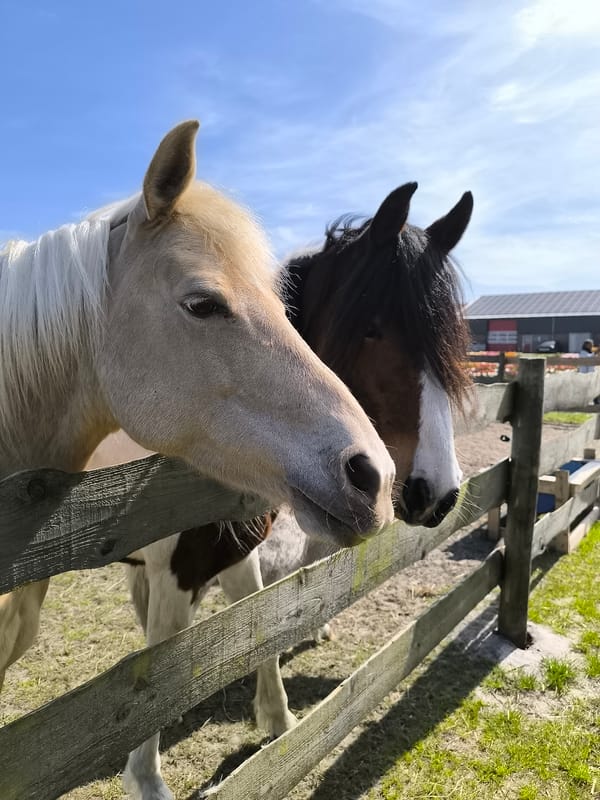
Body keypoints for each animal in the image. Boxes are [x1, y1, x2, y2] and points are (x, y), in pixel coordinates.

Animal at [107, 181, 473, 800]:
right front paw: (146, 776)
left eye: (447, 342)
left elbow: (256, 629)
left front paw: (279, 725)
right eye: (372, 327)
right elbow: (154, 677)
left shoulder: (234, 552)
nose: (439, 492)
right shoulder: (181, 568)